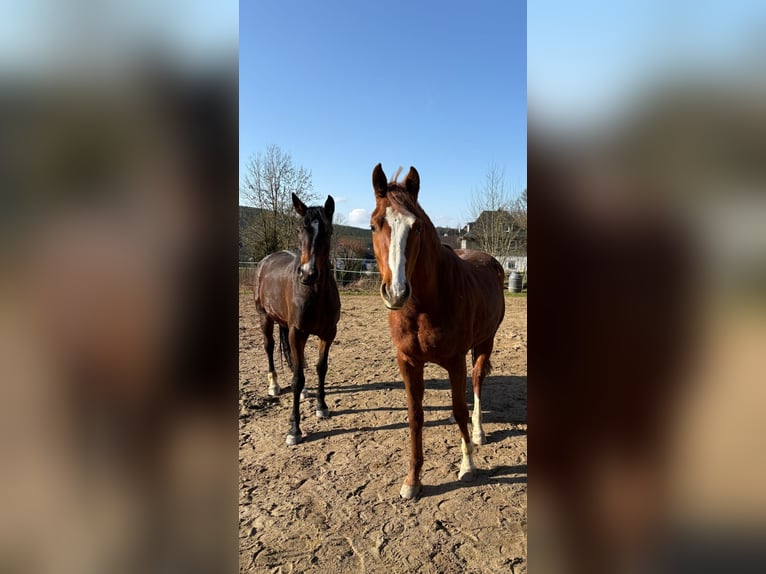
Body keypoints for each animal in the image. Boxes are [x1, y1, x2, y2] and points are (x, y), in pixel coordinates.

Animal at [253, 193, 341, 446]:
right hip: (265, 317)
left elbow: (321, 368)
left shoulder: (328, 334)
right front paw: (294, 429)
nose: (308, 274)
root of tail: (265, 261)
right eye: (300, 229)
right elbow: (297, 378)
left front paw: (322, 406)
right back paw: (274, 385)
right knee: (269, 347)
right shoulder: (297, 333)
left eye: (328, 231)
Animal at [370, 163, 506, 498]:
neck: (424, 305)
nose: (396, 292)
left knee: (477, 382)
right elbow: (416, 416)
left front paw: (468, 465)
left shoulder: (455, 361)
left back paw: (479, 432)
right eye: (374, 225)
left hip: (485, 342)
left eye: (416, 227)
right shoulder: (408, 362)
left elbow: (458, 410)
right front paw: (413, 480)